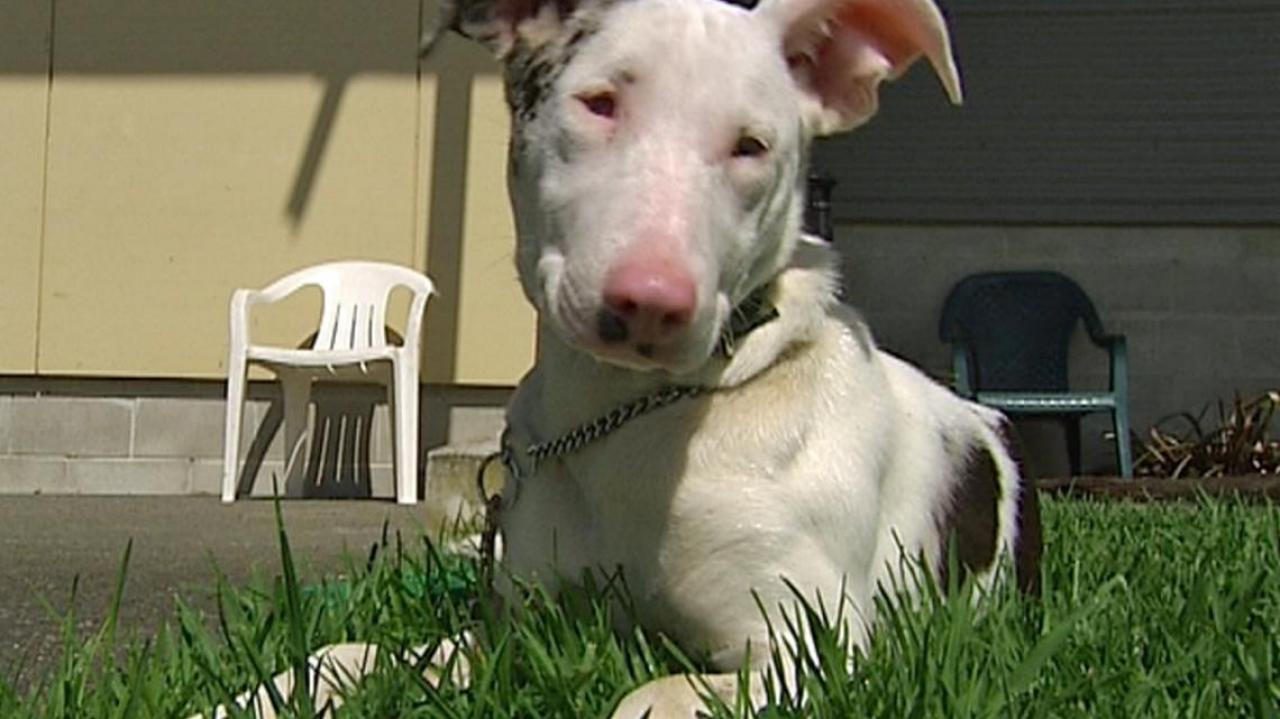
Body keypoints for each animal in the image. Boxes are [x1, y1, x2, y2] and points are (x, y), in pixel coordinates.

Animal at [199, 0, 1039, 711]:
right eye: (599, 101)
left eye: (752, 146)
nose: (652, 302)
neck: (630, 417)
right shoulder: (517, 627)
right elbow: (349, 652)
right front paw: (253, 697)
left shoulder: (810, 645)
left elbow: (653, 693)